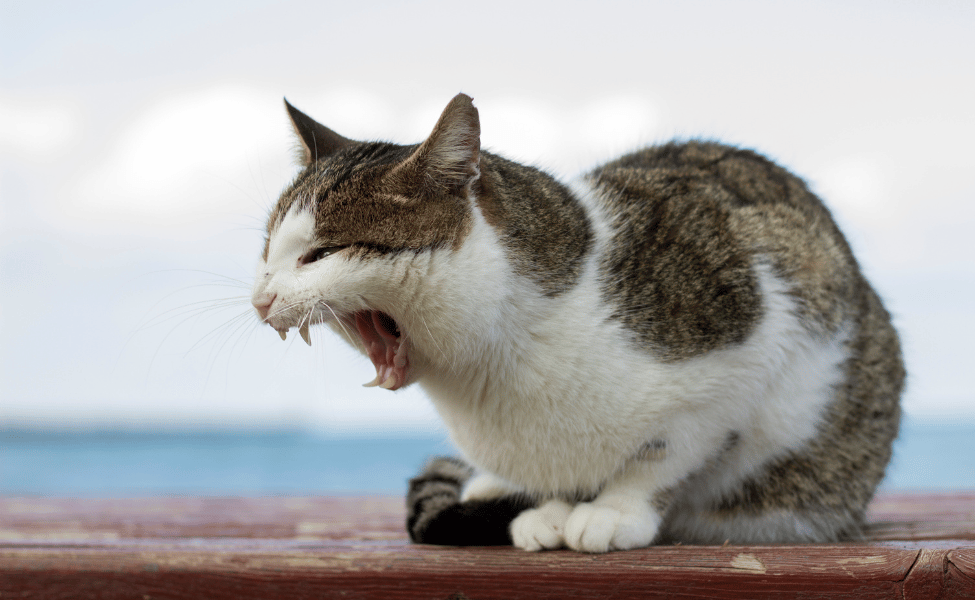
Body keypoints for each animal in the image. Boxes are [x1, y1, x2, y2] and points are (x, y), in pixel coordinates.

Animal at [254, 92, 908, 552]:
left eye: (320, 254)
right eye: (267, 252)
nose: (260, 298)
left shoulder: (751, 347)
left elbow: (664, 454)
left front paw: (613, 511)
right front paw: (549, 508)